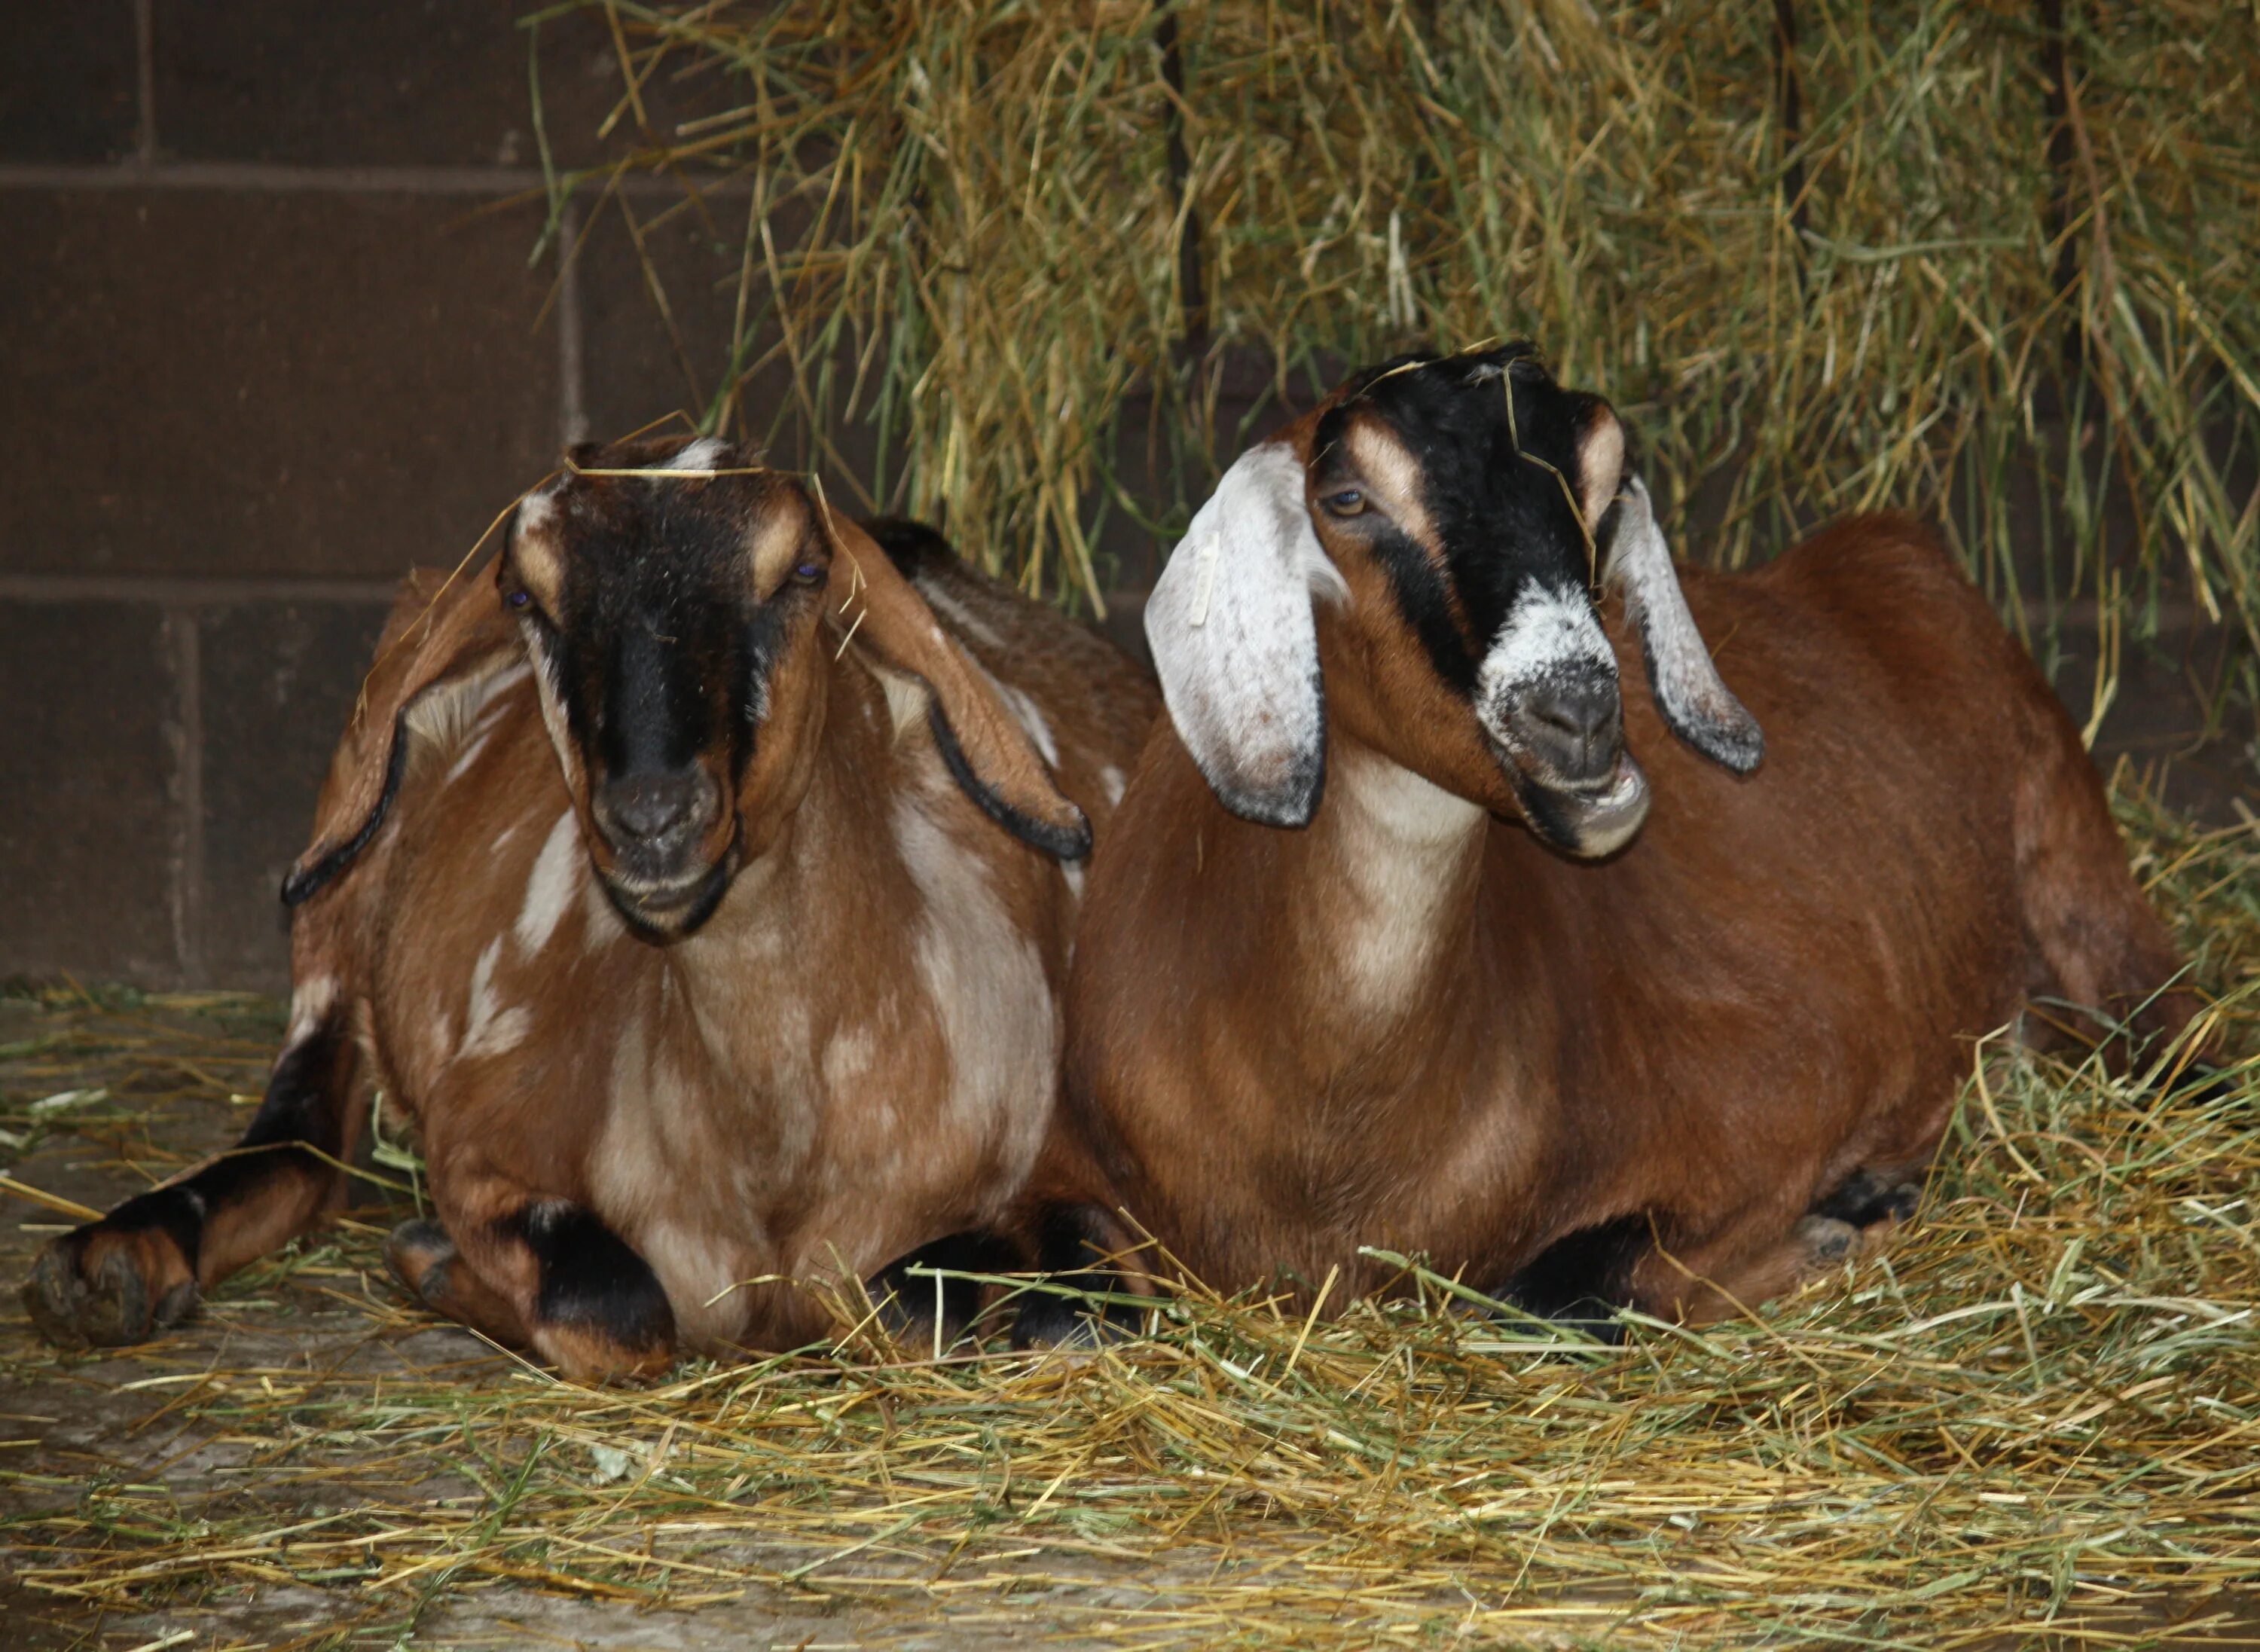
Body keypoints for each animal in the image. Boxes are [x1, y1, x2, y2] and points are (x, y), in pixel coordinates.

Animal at [31, 434, 1166, 1374]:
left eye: (802, 572)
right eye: (526, 597)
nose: (653, 815)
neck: (768, 1160)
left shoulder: (1075, 1170)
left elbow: (972, 1307)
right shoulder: (482, 1140)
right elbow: (616, 1304)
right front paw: (434, 1259)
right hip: (332, 901)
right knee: (299, 1130)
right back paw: (112, 1265)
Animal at [1062, 344, 2206, 1329]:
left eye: (1606, 494)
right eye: (1346, 500)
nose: (1576, 711)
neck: (1330, 1140)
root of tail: (1887, 548)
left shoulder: (1779, 1098)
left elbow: (1558, 1293)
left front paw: (1843, 1221)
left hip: (2091, 892)